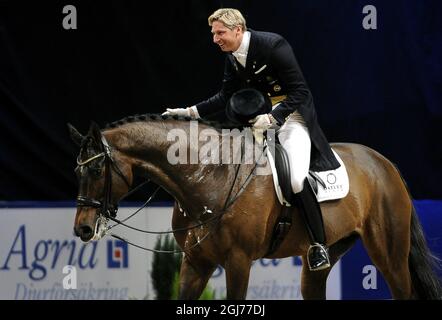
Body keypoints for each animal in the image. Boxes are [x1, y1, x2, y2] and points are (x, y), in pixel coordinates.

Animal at [67, 115, 440, 300]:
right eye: (77, 172)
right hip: (324, 258)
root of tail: (384, 164)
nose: (82, 229)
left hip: (389, 253)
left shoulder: (238, 261)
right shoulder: (195, 263)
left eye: (96, 170)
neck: (207, 176)